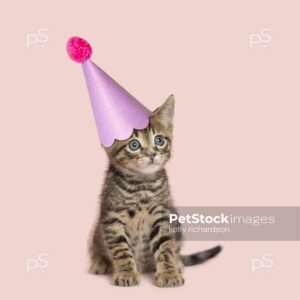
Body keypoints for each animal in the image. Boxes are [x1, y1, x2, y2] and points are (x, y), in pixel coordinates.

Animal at [88, 95, 221, 288]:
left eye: (159, 140)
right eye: (134, 144)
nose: (152, 154)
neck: (143, 185)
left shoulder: (163, 215)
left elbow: (165, 247)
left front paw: (169, 272)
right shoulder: (112, 218)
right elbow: (120, 249)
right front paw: (126, 272)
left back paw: (178, 263)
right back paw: (100, 261)